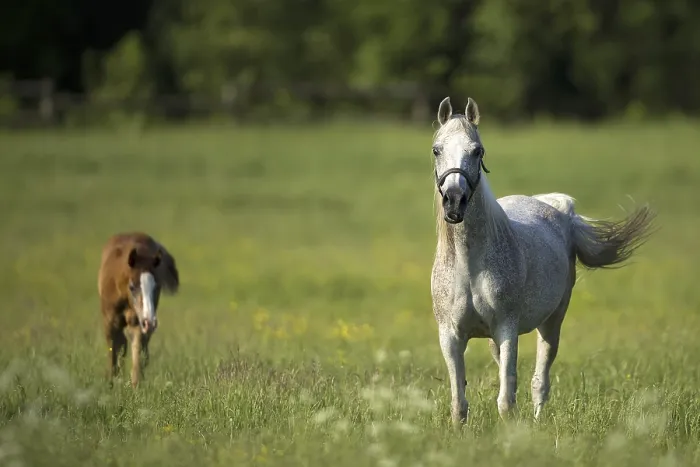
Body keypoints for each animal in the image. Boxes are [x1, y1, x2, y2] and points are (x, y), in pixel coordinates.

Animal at [98, 232, 180, 387]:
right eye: (132, 286)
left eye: (157, 287)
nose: (150, 322)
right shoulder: (110, 322)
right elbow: (113, 351)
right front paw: (111, 383)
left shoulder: (138, 323)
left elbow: (138, 353)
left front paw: (136, 387)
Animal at [429, 96, 656, 426]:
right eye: (437, 149)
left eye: (477, 150)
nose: (454, 201)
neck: (469, 265)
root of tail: (559, 208)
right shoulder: (450, 335)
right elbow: (459, 404)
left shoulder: (507, 329)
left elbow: (506, 401)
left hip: (552, 322)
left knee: (540, 381)